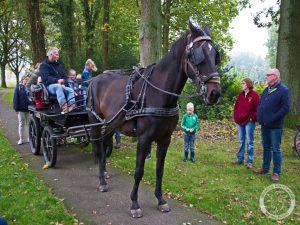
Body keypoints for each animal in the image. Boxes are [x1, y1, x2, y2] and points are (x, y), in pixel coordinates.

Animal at [86, 20, 220, 217]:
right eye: (198, 55)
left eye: (215, 55)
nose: (215, 93)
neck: (158, 93)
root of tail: (95, 80)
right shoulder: (144, 138)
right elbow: (139, 171)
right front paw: (134, 203)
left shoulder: (165, 139)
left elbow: (159, 170)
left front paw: (161, 199)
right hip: (96, 121)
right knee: (98, 146)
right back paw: (102, 181)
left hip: (111, 124)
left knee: (104, 144)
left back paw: (104, 174)